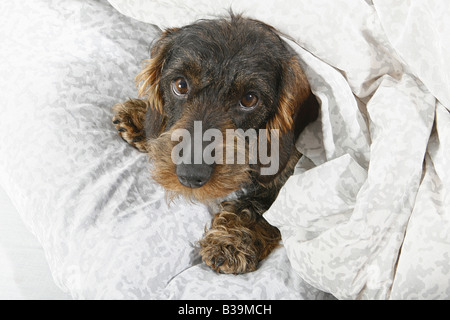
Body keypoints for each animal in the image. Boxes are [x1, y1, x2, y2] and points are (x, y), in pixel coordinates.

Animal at [112, 15, 320, 274]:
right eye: (180, 85)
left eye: (249, 99)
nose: (190, 175)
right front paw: (143, 118)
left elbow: (262, 207)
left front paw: (231, 241)